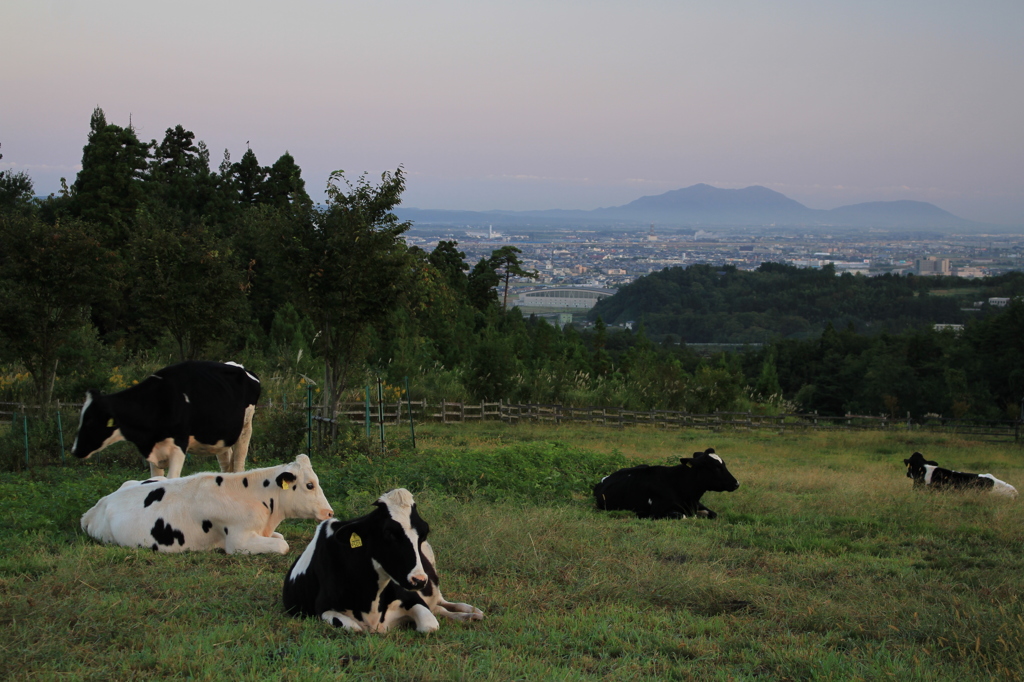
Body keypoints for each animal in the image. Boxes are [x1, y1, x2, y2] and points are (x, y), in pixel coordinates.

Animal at [72, 358, 262, 475]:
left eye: (90, 421)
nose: (75, 450)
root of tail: (240, 366)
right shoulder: (153, 452)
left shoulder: (178, 447)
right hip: (222, 439)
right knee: (226, 466)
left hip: (246, 429)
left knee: (238, 465)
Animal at [598, 444, 741, 518]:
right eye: (715, 467)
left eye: (724, 464)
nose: (736, 483)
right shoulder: (656, 512)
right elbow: (682, 515)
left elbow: (713, 514)